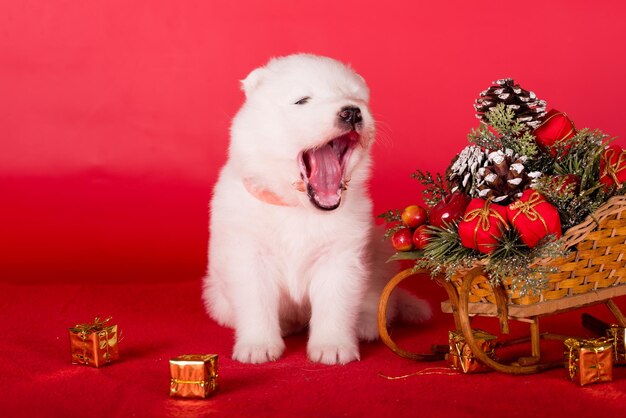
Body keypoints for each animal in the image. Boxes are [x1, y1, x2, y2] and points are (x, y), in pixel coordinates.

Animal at [202, 54, 426, 364]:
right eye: (302, 100)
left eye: (356, 98)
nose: (352, 112)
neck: (299, 209)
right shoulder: (249, 256)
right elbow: (256, 303)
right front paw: (258, 346)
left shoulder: (340, 258)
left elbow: (335, 306)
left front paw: (332, 347)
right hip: (216, 296)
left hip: (379, 257)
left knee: (381, 301)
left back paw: (365, 325)